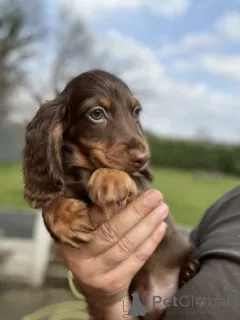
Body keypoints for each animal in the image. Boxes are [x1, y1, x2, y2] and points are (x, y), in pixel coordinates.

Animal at [22, 69, 199, 318]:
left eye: (135, 112)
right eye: (97, 113)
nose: (143, 158)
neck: (85, 169)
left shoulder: (146, 187)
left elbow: (129, 176)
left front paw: (111, 178)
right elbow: (50, 204)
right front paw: (66, 220)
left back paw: (189, 270)